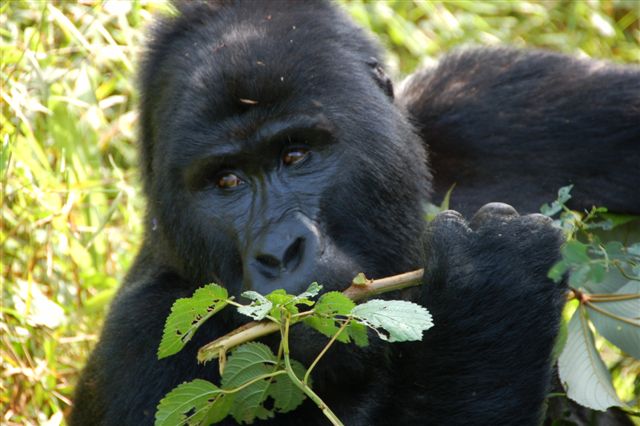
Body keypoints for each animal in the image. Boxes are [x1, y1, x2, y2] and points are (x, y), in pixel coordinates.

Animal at [70, 0, 640, 426]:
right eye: (227, 181)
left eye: (296, 155)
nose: (279, 252)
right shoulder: (141, 352)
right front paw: (491, 285)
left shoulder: (475, 103)